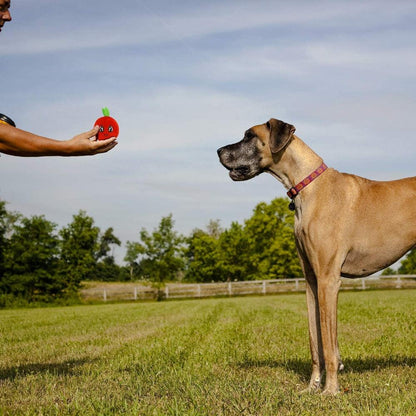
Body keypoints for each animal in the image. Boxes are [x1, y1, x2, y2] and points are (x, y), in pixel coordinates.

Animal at [216, 118, 416, 394]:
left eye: (249, 136)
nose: (218, 151)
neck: (307, 185)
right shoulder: (311, 280)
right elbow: (315, 341)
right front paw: (312, 387)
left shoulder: (328, 279)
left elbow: (329, 345)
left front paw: (330, 390)